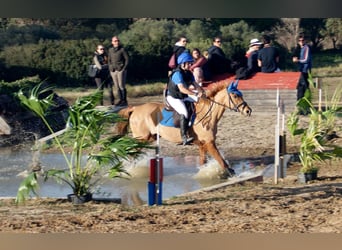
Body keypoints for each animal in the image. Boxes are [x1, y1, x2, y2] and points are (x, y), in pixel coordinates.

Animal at [119, 81, 252, 177]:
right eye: (235, 95)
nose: (248, 111)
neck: (208, 114)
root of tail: (135, 108)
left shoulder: (203, 145)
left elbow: (203, 162)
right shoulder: (209, 143)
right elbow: (222, 162)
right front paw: (233, 174)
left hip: (149, 138)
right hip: (142, 139)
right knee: (131, 152)